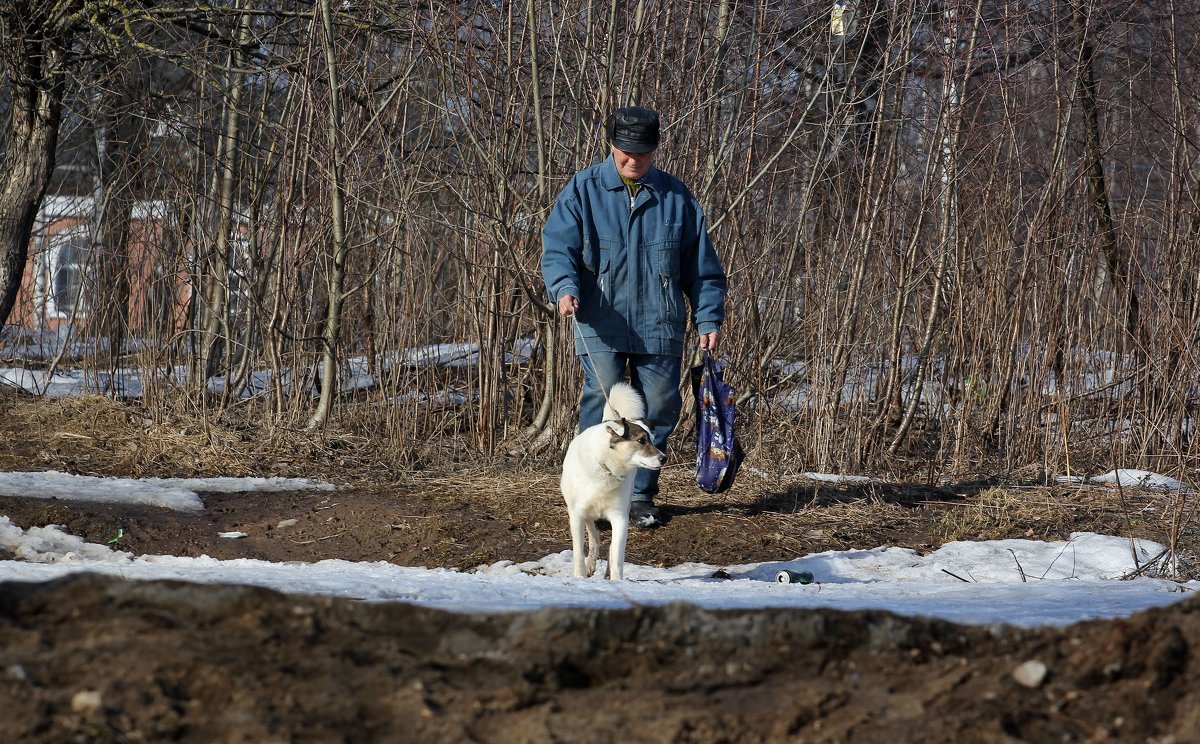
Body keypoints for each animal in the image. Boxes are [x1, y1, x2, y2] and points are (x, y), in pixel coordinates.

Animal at [559, 384, 667, 580]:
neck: (606, 467)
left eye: (653, 441)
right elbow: (578, 551)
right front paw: (580, 577)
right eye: (641, 440)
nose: (664, 458)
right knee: (594, 538)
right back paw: (589, 566)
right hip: (584, 513)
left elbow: (616, 554)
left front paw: (616, 581)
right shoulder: (577, 514)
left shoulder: (620, 517)